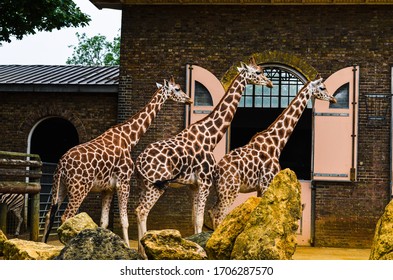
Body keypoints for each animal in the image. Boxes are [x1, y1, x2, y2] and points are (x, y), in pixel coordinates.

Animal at [41, 76, 191, 245]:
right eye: (177, 89)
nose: (189, 99)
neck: (129, 138)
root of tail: (61, 165)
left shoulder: (108, 188)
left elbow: (104, 222)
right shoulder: (123, 182)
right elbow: (124, 220)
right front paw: (126, 245)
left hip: (60, 187)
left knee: (48, 215)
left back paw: (43, 244)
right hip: (79, 189)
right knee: (66, 217)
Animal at [135, 55, 272, 255]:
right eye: (257, 72)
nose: (270, 83)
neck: (211, 137)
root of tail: (138, 162)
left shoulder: (193, 185)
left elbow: (194, 219)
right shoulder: (205, 181)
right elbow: (200, 219)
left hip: (144, 186)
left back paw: (140, 250)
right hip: (156, 185)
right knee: (142, 210)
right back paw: (143, 252)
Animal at [208, 75, 336, 230]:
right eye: (322, 87)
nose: (333, 99)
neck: (276, 144)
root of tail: (216, 172)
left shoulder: (260, 187)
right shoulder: (266, 183)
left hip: (222, 192)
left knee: (212, 211)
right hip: (229, 191)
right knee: (219, 214)